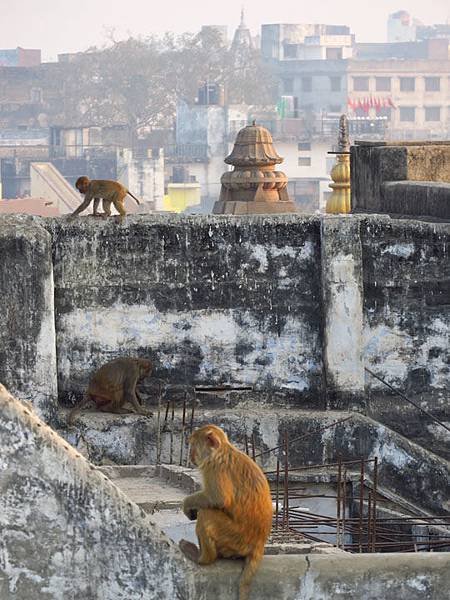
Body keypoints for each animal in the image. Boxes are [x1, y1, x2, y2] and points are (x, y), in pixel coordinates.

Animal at [178, 424, 270, 600]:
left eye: (193, 445)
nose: (191, 455)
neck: (222, 450)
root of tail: (259, 543)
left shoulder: (214, 467)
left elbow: (218, 499)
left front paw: (187, 504)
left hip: (233, 538)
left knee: (206, 514)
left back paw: (202, 558)